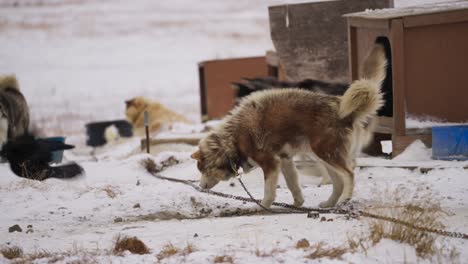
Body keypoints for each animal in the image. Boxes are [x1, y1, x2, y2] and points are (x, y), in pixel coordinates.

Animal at [192, 43, 386, 208]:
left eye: (203, 170)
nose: (200, 186)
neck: (234, 138)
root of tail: (341, 107)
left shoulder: (270, 163)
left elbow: (269, 191)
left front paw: (263, 206)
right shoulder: (284, 160)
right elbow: (293, 185)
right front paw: (298, 203)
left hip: (325, 152)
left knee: (348, 174)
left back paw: (345, 198)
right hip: (322, 155)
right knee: (338, 181)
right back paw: (329, 203)